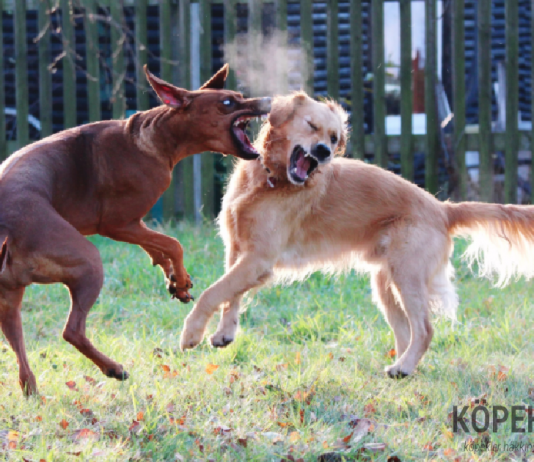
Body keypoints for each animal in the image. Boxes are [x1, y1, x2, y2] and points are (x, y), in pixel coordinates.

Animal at [0, 64, 270, 394]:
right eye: (228, 102)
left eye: (239, 96)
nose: (268, 101)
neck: (154, 138)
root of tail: (7, 230)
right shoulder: (115, 224)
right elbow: (173, 243)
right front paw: (180, 278)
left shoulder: (134, 223)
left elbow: (158, 247)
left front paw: (175, 280)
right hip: (88, 261)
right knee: (71, 331)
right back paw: (113, 368)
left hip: (9, 296)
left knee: (16, 340)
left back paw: (32, 388)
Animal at [180, 93, 534, 378]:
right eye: (311, 125)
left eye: (334, 137)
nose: (324, 151)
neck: (269, 180)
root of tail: (442, 208)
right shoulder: (240, 251)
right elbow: (231, 295)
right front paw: (225, 333)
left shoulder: (259, 258)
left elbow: (212, 292)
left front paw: (191, 334)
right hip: (386, 284)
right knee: (406, 332)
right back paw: (403, 366)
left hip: (407, 276)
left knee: (424, 329)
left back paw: (403, 367)